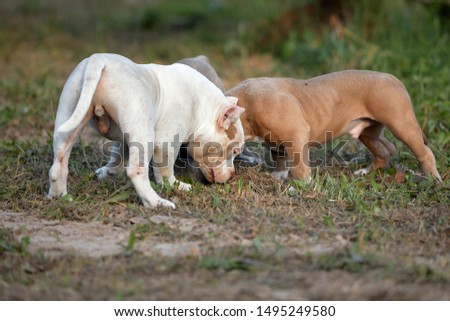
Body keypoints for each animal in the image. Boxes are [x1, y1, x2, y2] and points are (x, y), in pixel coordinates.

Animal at [229, 69, 442, 180]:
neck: (245, 105)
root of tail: (392, 78)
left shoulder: (295, 134)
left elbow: (299, 165)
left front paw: (299, 185)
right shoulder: (277, 142)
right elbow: (280, 157)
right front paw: (278, 175)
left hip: (401, 124)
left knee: (423, 151)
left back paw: (433, 178)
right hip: (368, 131)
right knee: (386, 149)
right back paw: (365, 171)